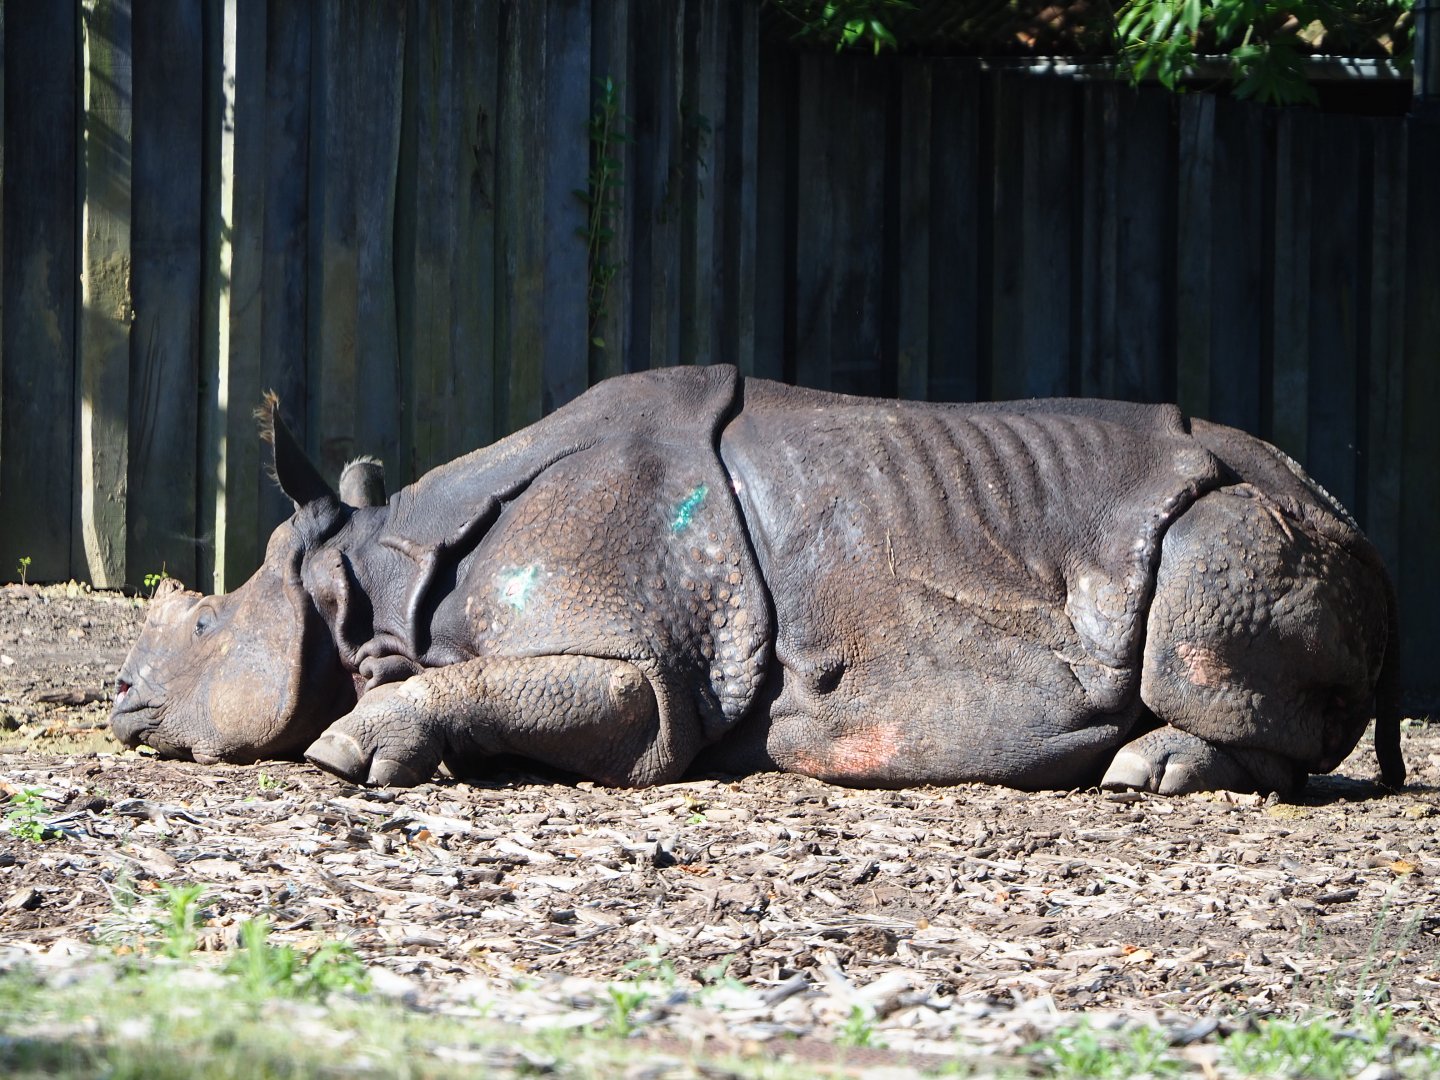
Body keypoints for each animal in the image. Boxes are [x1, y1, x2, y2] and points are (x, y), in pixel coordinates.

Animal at [111, 365, 1403, 796]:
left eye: (208, 622)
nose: (123, 702)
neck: (384, 569)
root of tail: (1342, 504)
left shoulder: (649, 663)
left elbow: (621, 701)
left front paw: (350, 748)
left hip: (1249, 523)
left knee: (1204, 620)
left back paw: (1152, 773)